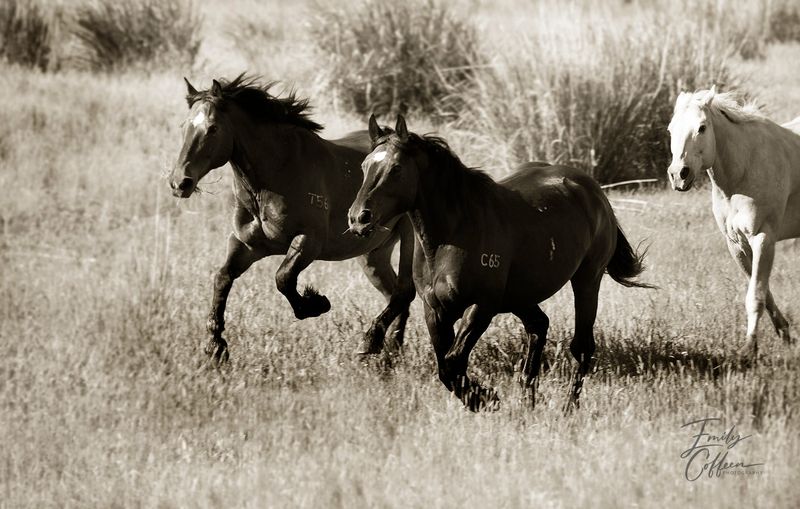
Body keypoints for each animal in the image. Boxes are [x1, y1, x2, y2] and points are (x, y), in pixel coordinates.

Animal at [169, 75, 416, 362]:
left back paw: (382, 349)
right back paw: (388, 353)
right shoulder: (247, 245)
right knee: (393, 294)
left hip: (409, 239)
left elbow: (283, 278)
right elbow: (222, 278)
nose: (180, 182)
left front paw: (315, 304)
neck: (275, 174)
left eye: (213, 128)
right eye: (183, 126)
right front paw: (215, 346)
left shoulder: (308, 242)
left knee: (404, 292)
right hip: (373, 255)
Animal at [347, 115, 652, 411]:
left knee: (582, 346)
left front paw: (486, 399)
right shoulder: (435, 310)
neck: (454, 233)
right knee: (538, 327)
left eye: (396, 168)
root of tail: (593, 190)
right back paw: (528, 401)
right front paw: (483, 397)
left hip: (587, 280)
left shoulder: (482, 306)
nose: (358, 217)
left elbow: (453, 362)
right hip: (521, 295)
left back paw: (568, 407)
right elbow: (446, 367)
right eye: (364, 165)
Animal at [667, 86, 800, 359]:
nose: (678, 175)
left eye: (702, 127)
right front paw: (785, 334)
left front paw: (749, 347)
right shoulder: (737, 245)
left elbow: (756, 295)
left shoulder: (763, 239)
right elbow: (764, 293)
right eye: (670, 129)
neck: (745, 168)